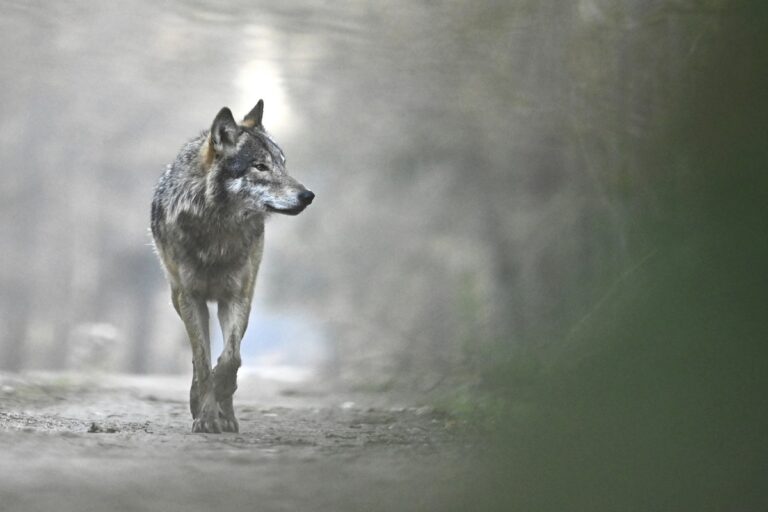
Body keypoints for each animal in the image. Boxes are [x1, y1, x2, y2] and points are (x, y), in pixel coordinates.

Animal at [150, 102, 312, 434]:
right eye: (260, 166)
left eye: (283, 164)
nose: (308, 196)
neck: (218, 230)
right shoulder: (192, 298)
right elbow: (202, 361)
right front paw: (206, 415)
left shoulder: (237, 297)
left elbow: (231, 358)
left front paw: (221, 402)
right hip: (177, 298)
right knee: (197, 359)